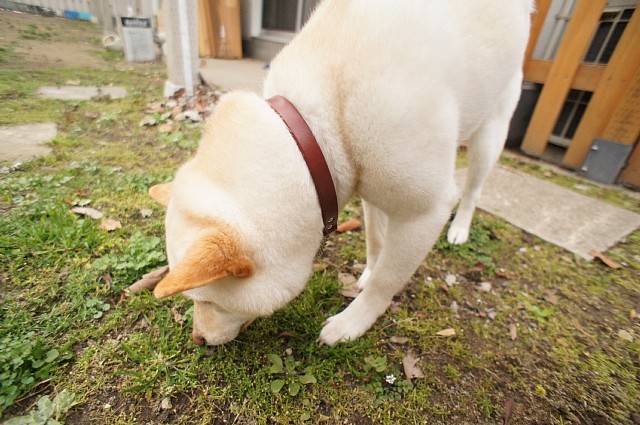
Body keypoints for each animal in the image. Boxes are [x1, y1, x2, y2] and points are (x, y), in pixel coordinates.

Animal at [148, 0, 532, 344]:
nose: (197, 339)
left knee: (474, 187)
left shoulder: (425, 211)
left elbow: (386, 280)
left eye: (207, 302)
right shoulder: (366, 182)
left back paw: (460, 228)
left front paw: (353, 321)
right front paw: (369, 270)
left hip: (493, 128)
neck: (315, 129)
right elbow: (376, 239)